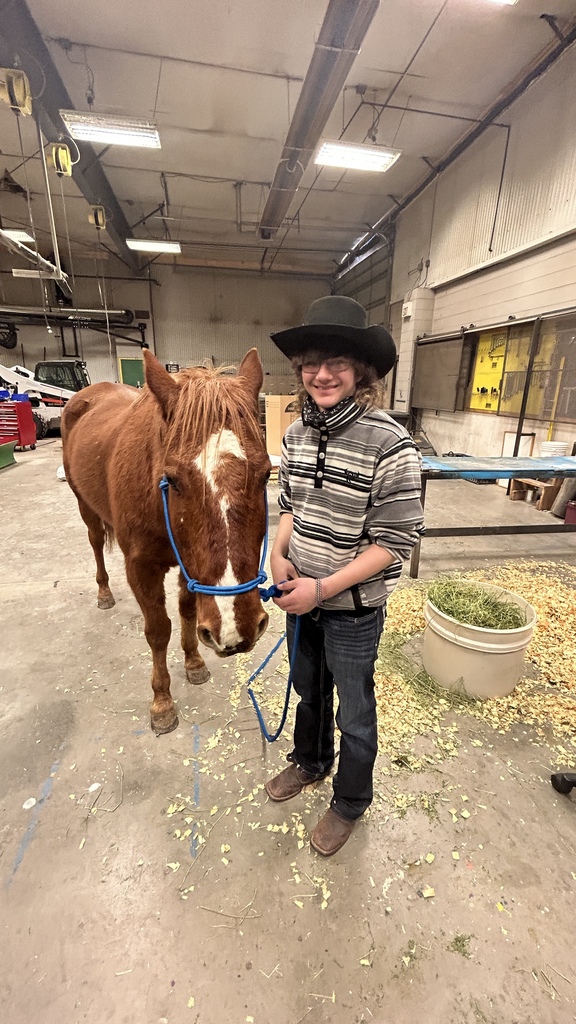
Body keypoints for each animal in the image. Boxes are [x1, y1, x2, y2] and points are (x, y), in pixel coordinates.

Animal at [61, 348, 271, 735]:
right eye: (172, 480)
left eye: (266, 475)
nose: (239, 629)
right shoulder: (141, 568)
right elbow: (159, 631)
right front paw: (162, 702)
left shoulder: (191, 565)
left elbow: (188, 611)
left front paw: (193, 662)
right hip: (84, 505)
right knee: (96, 543)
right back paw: (104, 592)